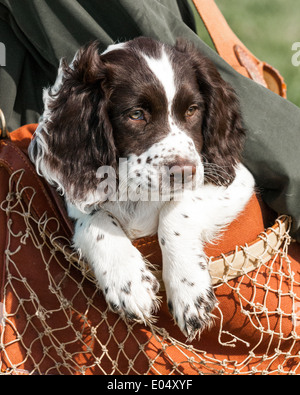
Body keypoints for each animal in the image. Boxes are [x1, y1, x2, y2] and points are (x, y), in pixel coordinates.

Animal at [28, 36, 254, 340]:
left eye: (192, 110)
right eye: (136, 114)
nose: (185, 172)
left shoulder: (235, 180)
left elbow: (177, 210)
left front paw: (188, 288)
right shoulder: (78, 198)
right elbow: (95, 220)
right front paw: (128, 281)